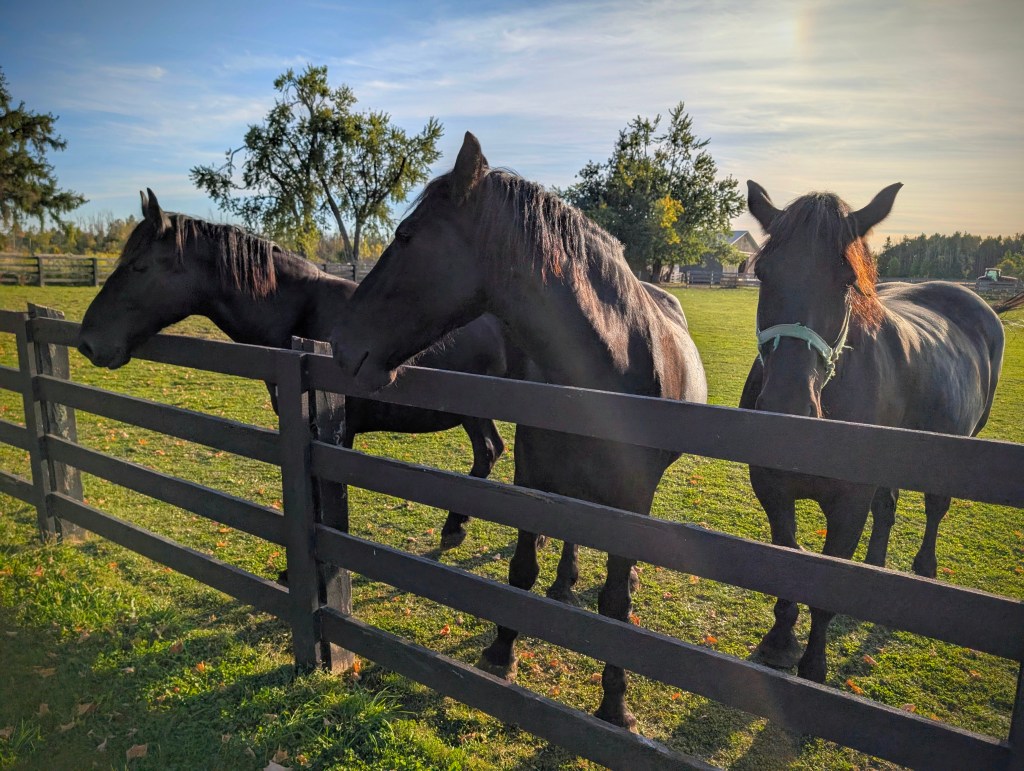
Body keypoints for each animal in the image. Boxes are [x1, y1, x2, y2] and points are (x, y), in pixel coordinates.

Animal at [77, 189, 512, 551]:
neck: (300, 315)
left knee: (489, 452)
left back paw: (455, 528)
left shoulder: (336, 433)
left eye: (139, 266)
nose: (88, 341)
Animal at [329, 132, 708, 731]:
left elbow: (616, 608)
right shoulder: (532, 476)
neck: (604, 373)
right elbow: (522, 572)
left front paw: (615, 706)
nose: (340, 342)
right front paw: (501, 653)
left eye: (407, 235)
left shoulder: (630, 500)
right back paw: (565, 581)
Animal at [741, 180, 1004, 683]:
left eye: (846, 279)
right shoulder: (772, 489)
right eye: (762, 273)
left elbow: (826, 587)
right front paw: (780, 643)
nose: (787, 409)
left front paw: (814, 666)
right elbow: (785, 561)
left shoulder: (849, 504)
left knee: (935, 508)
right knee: (888, 507)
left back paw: (924, 568)